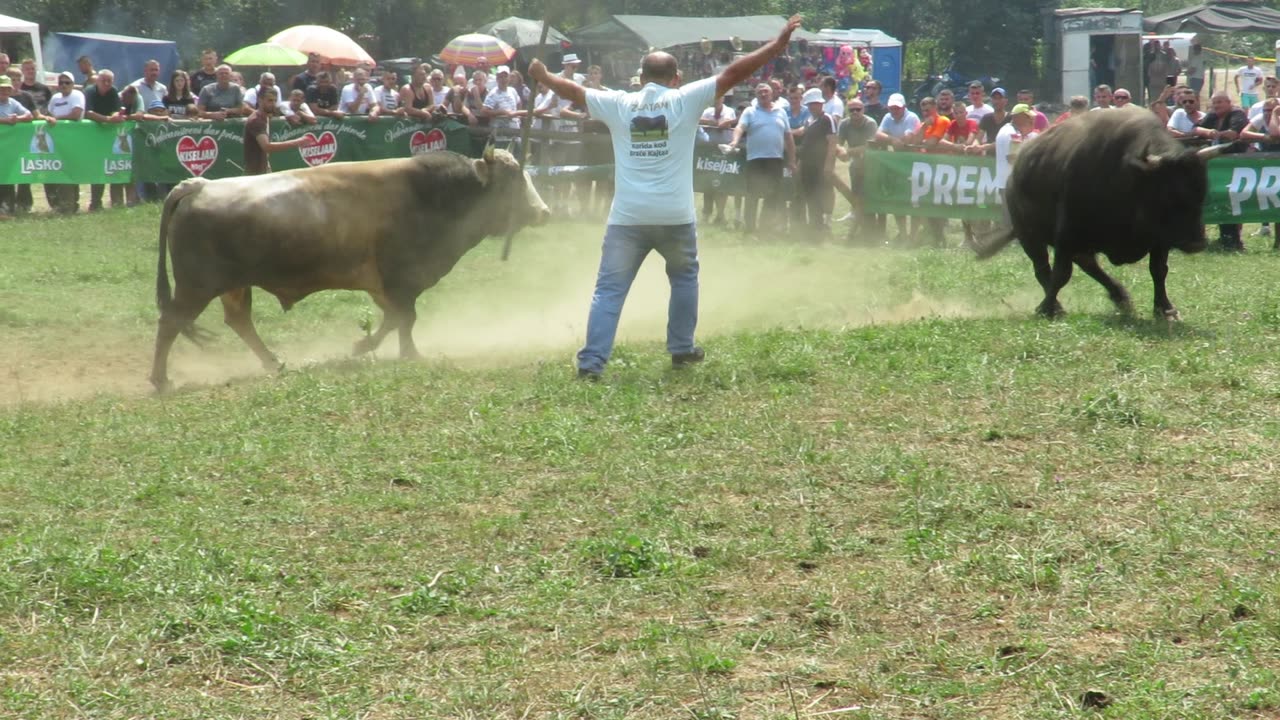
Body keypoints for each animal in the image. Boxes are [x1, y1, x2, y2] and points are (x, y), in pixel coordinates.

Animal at [149, 147, 550, 389]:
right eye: (514, 182)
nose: (544, 212)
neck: (434, 193)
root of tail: (197, 185)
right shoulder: (400, 279)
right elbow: (405, 318)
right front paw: (407, 353)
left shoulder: (383, 286)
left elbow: (394, 319)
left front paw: (365, 345)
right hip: (197, 286)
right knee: (171, 322)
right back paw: (160, 380)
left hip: (233, 285)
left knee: (239, 321)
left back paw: (274, 363)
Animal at [972, 109, 1213, 316]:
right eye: (1169, 193)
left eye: (1202, 193)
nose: (1196, 242)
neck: (1132, 179)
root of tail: (1014, 173)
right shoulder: (1066, 235)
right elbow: (1061, 275)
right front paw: (1046, 307)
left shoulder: (1160, 240)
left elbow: (1159, 270)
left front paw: (1166, 309)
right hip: (1029, 236)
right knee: (1043, 269)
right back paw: (1059, 305)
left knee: (1089, 265)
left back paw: (1120, 296)